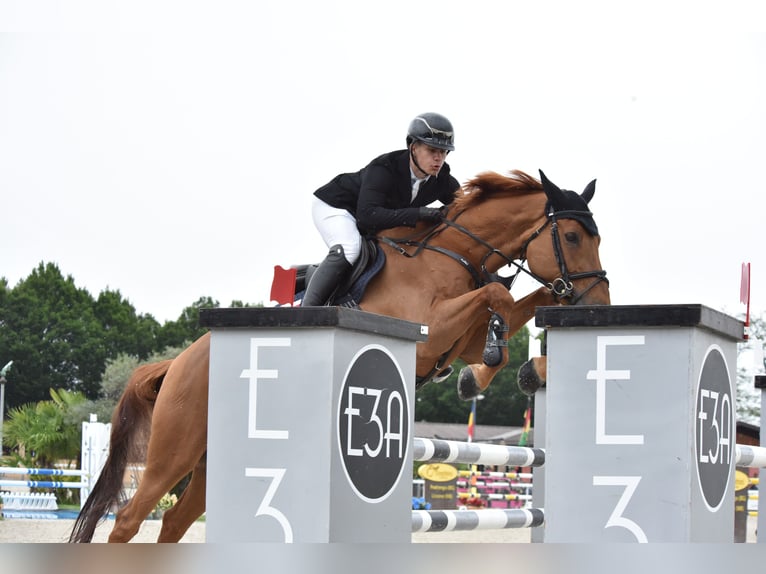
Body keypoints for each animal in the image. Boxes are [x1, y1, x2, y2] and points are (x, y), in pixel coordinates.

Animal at [70, 168, 612, 544]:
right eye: (570, 237)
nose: (599, 304)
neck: (451, 256)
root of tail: (177, 362)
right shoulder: (430, 333)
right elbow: (498, 299)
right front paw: (494, 366)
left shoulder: (461, 340)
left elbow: (516, 312)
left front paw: (512, 372)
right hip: (175, 450)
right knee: (128, 520)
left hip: (207, 465)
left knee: (174, 522)